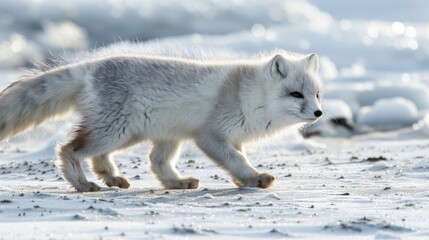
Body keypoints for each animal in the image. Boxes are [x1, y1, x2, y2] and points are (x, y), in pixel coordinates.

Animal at [0, 51, 320, 192]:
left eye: (317, 94)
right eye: (295, 94)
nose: (318, 113)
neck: (248, 94)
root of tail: (92, 65)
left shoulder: (232, 137)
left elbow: (236, 159)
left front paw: (244, 179)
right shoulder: (210, 136)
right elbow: (236, 159)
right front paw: (254, 178)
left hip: (147, 136)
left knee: (153, 161)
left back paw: (167, 181)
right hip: (116, 133)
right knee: (69, 149)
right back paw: (84, 184)